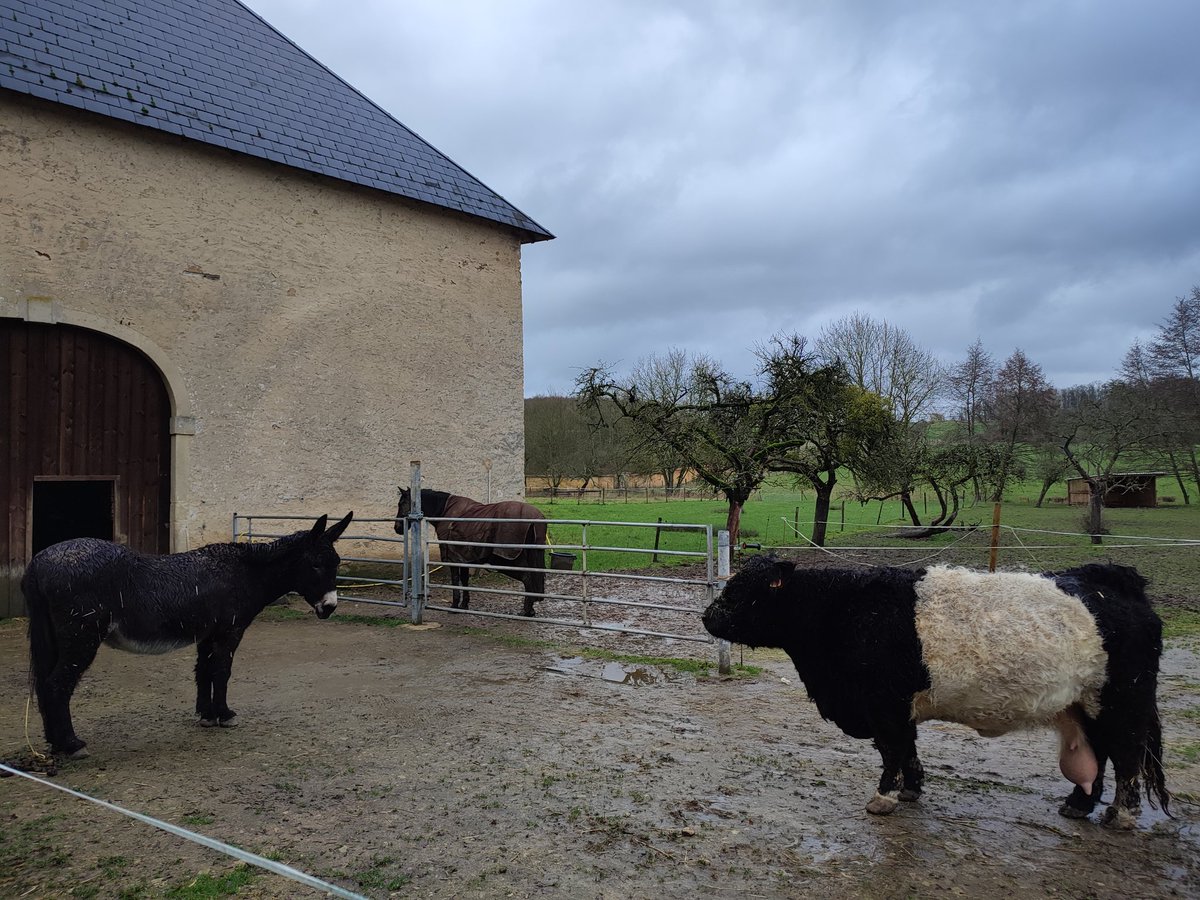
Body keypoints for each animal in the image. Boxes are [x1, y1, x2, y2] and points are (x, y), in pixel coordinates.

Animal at [22, 511, 353, 758]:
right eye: (315, 565)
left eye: (337, 563)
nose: (329, 608)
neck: (246, 571)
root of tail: (39, 562)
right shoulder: (229, 631)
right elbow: (222, 671)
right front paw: (225, 715)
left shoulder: (208, 633)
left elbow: (203, 671)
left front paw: (207, 715)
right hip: (81, 636)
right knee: (57, 684)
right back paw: (71, 745)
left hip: (55, 638)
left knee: (44, 684)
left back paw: (54, 743)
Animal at [395, 488, 547, 617]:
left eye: (402, 503)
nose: (397, 528)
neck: (445, 511)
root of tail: (534, 517)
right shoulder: (464, 559)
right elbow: (465, 580)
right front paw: (464, 605)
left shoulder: (452, 559)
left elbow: (455, 581)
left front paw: (454, 606)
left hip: (509, 560)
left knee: (527, 578)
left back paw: (526, 610)